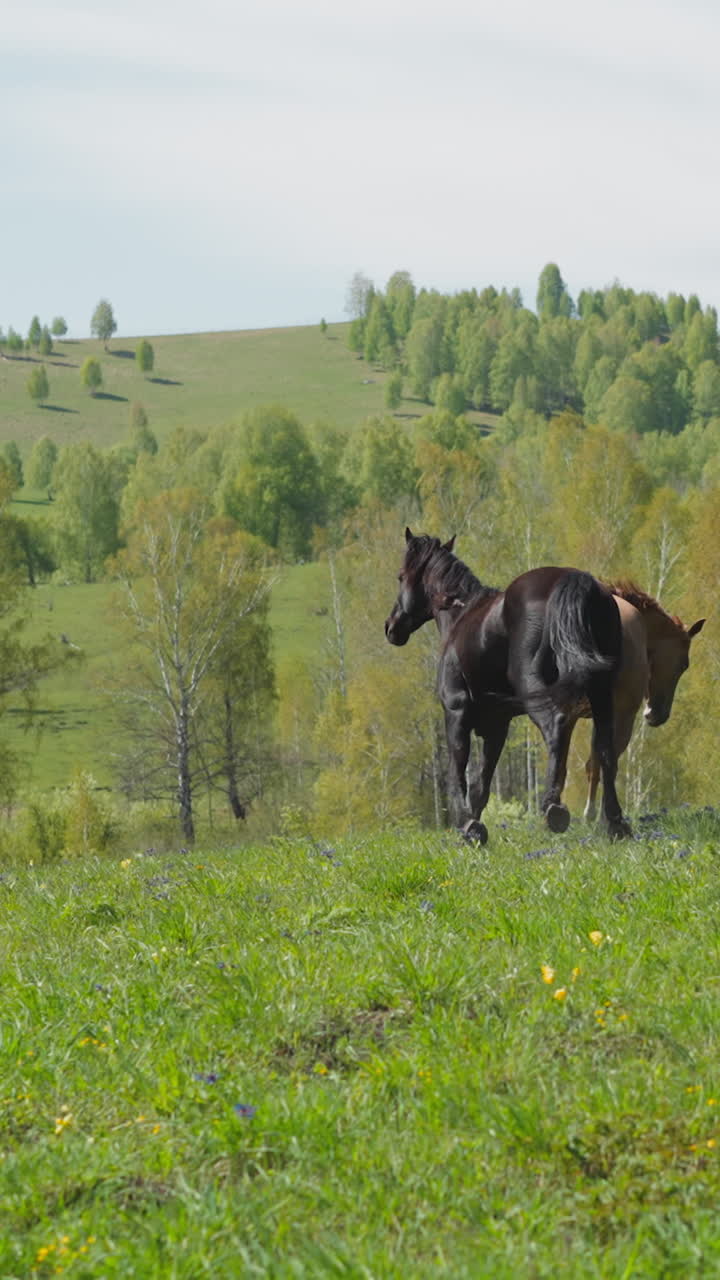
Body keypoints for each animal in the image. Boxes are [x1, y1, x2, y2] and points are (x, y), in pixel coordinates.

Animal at [384, 528, 630, 843]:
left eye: (400, 576)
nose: (391, 627)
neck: (460, 616)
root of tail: (576, 581)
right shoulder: (497, 724)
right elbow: (481, 782)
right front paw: (475, 832)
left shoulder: (455, 712)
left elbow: (457, 771)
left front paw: (467, 825)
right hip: (601, 694)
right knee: (605, 749)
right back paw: (615, 823)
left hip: (535, 689)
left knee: (557, 726)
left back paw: (553, 808)